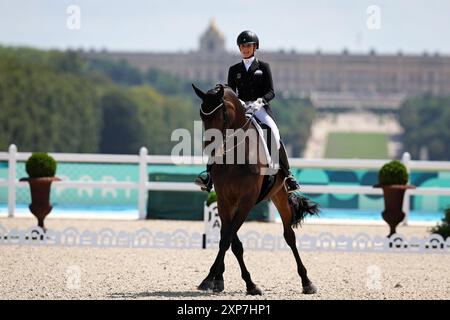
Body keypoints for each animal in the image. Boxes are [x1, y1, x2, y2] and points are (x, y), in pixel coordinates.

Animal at [192, 83, 318, 296]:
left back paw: (307, 282)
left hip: (279, 194)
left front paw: (211, 279)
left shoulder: (246, 201)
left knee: (289, 236)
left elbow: (228, 239)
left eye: (220, 115)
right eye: (202, 115)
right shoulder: (224, 200)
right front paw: (219, 280)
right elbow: (229, 240)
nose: (211, 150)